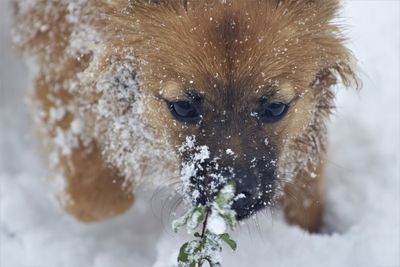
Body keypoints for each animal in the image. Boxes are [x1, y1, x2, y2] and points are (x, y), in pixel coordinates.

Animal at [12, 0, 358, 233]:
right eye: (182, 107)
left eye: (275, 108)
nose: (229, 196)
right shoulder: (59, 68)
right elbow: (96, 200)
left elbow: (306, 187)